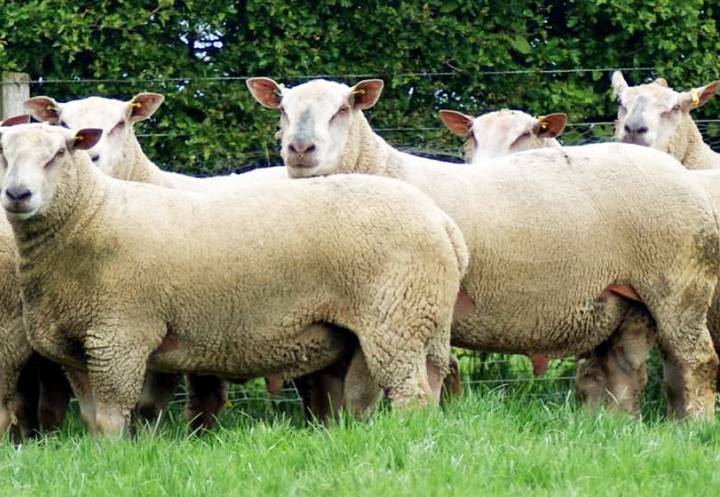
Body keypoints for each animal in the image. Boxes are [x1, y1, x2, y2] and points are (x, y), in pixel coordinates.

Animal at [0, 123, 466, 434]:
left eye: (58, 154)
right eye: (3, 155)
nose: (18, 194)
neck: (91, 216)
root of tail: (442, 222)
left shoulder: (120, 336)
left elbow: (113, 416)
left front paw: (115, 459)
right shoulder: (75, 346)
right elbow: (92, 418)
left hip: (396, 318)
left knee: (412, 396)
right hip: (399, 324)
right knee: (388, 392)